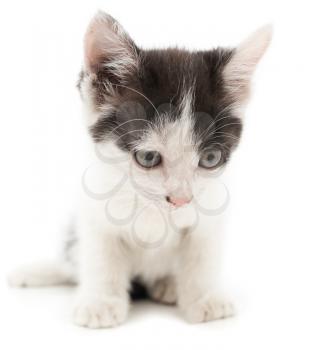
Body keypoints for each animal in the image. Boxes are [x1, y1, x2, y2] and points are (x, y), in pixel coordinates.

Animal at [7, 10, 270, 328]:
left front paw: (204, 298)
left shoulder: (210, 213)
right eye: (147, 157)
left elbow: (202, 254)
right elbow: (100, 254)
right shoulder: (94, 210)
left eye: (210, 158)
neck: (151, 207)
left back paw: (168, 285)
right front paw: (101, 302)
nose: (181, 199)